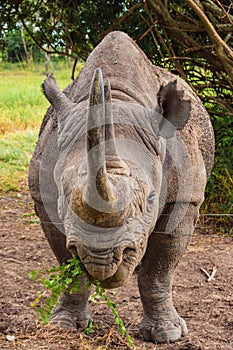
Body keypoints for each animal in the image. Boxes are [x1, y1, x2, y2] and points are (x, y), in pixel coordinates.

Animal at [29, 31, 215, 344]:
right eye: (64, 199)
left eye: (152, 198)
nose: (101, 257)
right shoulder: (43, 197)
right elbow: (69, 266)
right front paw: (64, 324)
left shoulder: (185, 199)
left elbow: (159, 270)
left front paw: (168, 334)